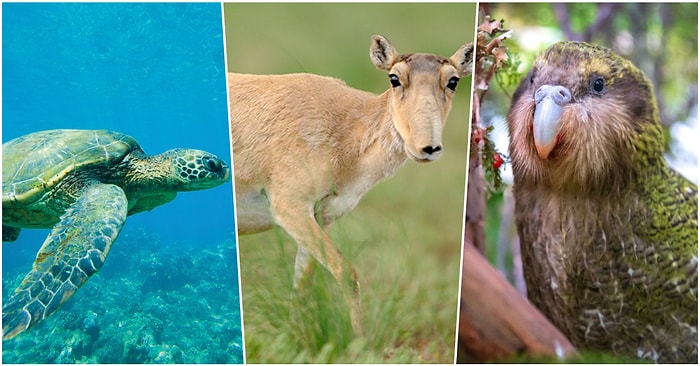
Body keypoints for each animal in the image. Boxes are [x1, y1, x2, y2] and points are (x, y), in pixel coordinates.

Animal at [227, 34, 474, 334]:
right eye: (394, 78)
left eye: (453, 80)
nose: (428, 148)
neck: (344, 128)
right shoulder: (289, 208)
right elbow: (347, 272)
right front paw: (361, 339)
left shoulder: (321, 217)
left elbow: (302, 283)